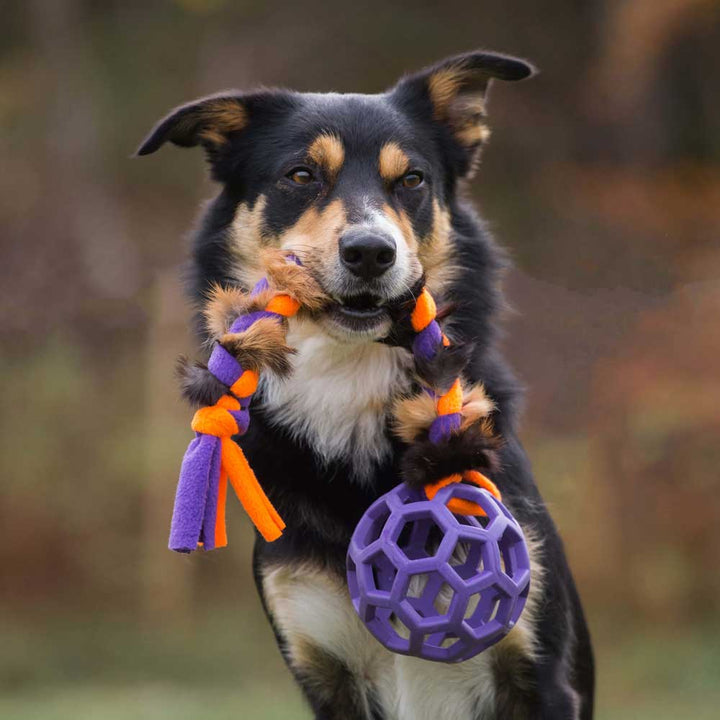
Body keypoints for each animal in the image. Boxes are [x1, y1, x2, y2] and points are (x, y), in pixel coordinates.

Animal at [138, 50, 592, 720]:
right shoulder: (324, 665)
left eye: (412, 181)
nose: (371, 252)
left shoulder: (541, 673)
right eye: (301, 175)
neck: (348, 376)